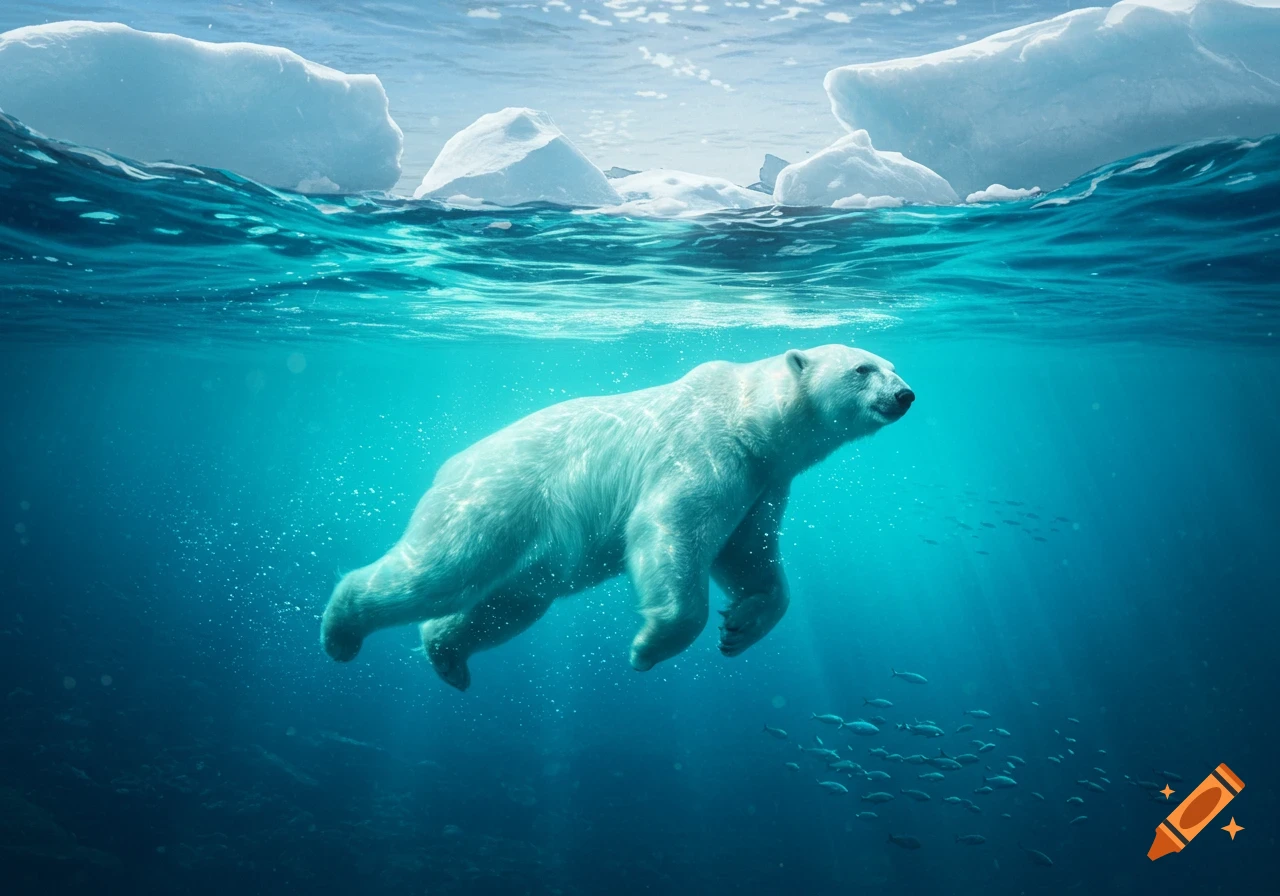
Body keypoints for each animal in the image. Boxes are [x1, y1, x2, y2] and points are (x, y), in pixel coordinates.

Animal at [320, 344, 914, 689]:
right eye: (863, 369)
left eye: (892, 365)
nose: (905, 394)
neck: (749, 415)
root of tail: (449, 468)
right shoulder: (705, 449)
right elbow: (669, 528)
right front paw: (649, 647)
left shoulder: (762, 481)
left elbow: (749, 555)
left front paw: (741, 625)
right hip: (496, 504)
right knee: (440, 573)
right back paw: (341, 631)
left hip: (532, 557)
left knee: (503, 606)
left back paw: (448, 658)